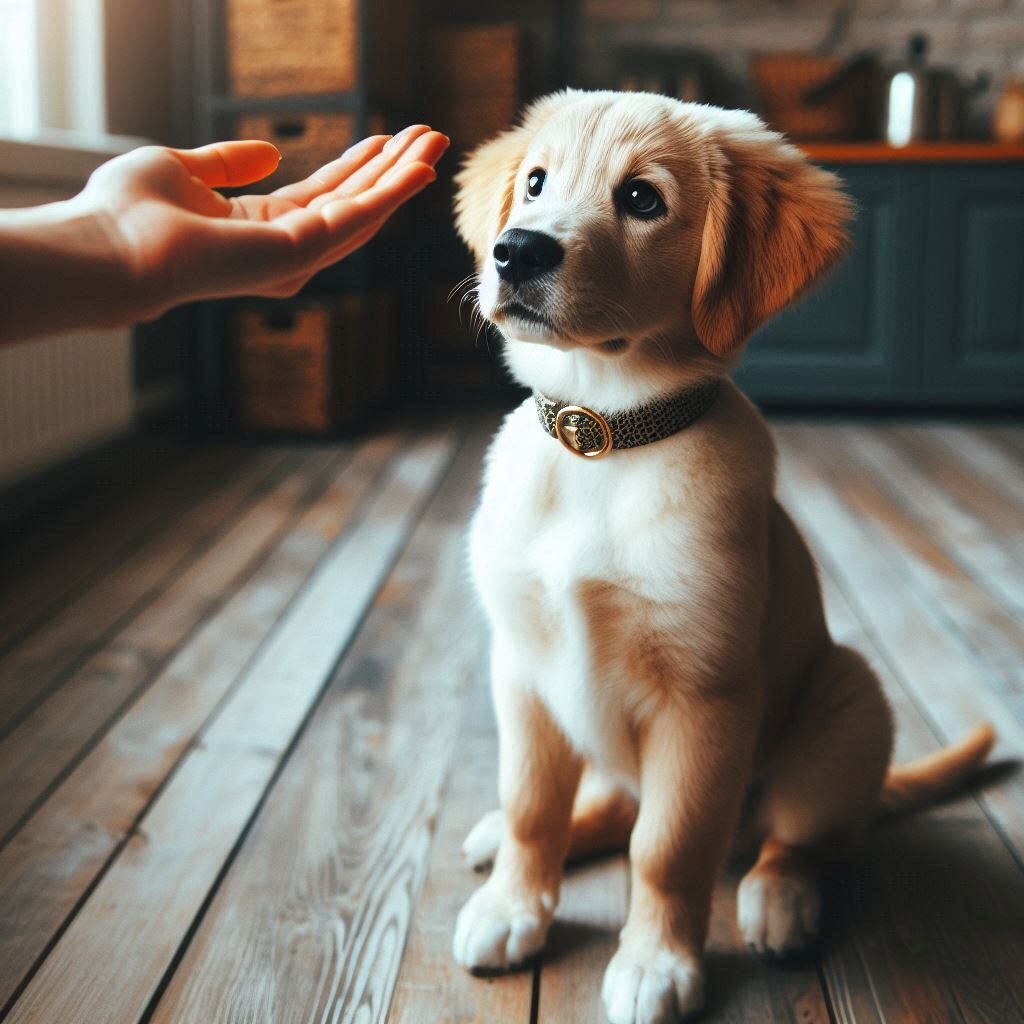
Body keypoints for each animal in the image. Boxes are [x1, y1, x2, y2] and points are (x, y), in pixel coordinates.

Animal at [452, 90, 995, 1024]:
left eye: (641, 199)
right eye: (535, 182)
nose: (514, 250)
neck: (605, 438)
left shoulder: (703, 696)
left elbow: (668, 848)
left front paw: (655, 964)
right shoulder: (522, 666)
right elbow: (532, 806)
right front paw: (513, 907)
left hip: (849, 698)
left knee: (799, 838)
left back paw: (781, 899)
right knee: (609, 807)